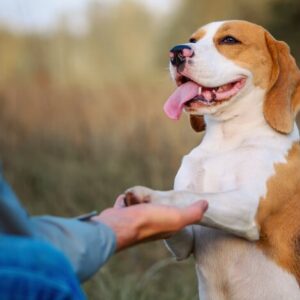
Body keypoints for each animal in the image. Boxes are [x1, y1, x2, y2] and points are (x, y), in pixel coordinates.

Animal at [123, 21, 300, 300]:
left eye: (229, 40)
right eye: (192, 39)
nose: (176, 52)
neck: (227, 140)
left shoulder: (249, 205)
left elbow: (187, 196)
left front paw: (150, 196)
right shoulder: (186, 243)